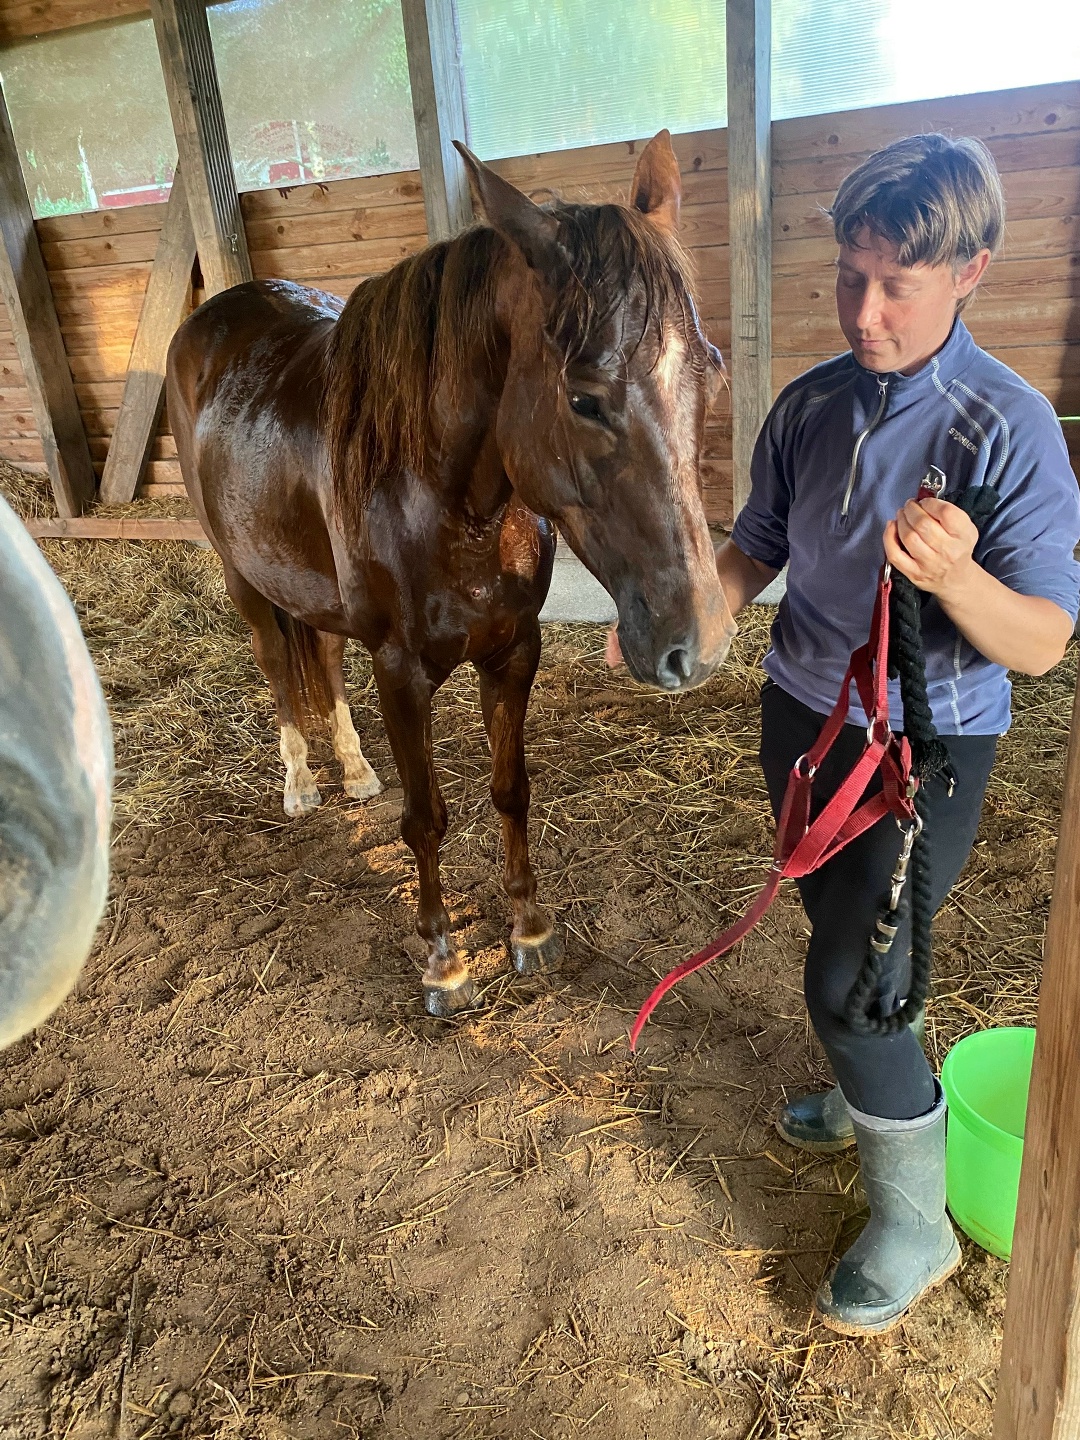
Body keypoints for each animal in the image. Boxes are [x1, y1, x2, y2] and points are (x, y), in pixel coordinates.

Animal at [166, 130, 735, 1017]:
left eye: (710, 370)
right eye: (584, 397)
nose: (698, 645)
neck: (447, 498)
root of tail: (212, 317)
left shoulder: (513, 650)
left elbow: (511, 788)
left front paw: (528, 928)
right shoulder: (401, 672)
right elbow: (426, 818)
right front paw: (442, 958)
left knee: (322, 658)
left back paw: (354, 770)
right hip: (244, 579)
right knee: (277, 667)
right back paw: (300, 783)